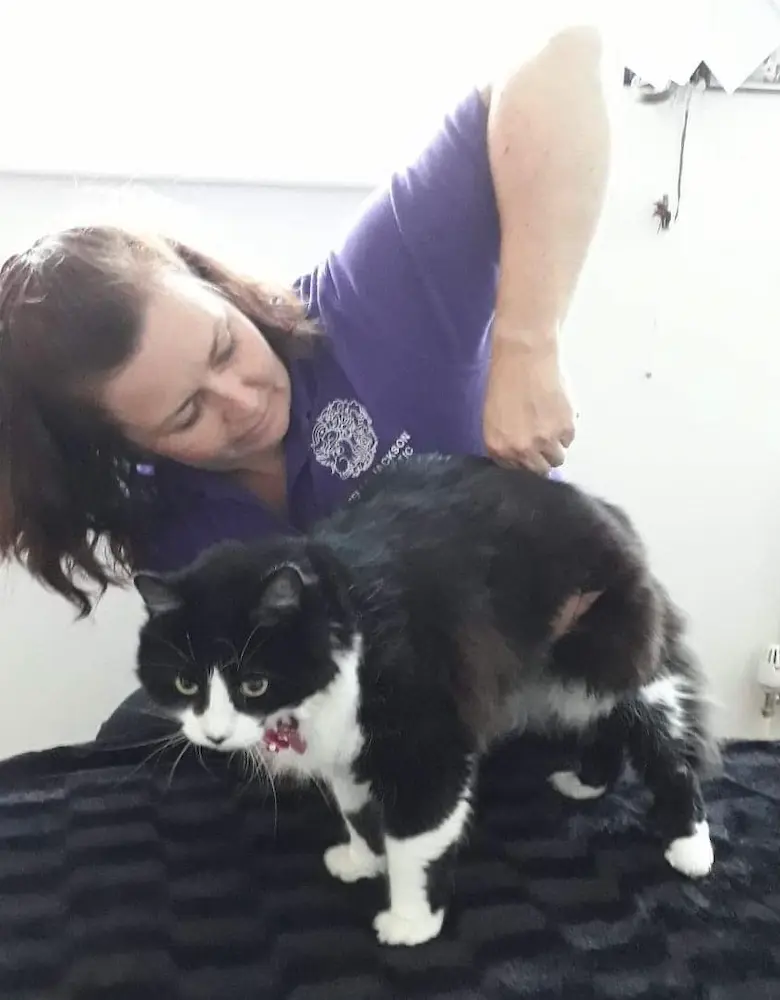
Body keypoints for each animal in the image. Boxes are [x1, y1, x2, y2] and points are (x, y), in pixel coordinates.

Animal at [134, 454, 717, 948]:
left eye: (254, 684)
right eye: (186, 684)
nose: (214, 735)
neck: (351, 626)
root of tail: (605, 512)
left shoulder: (427, 749)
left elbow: (415, 845)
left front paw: (411, 922)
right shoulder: (349, 752)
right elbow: (358, 814)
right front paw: (361, 860)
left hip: (618, 666)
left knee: (670, 757)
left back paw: (691, 846)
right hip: (568, 683)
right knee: (605, 728)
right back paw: (587, 783)